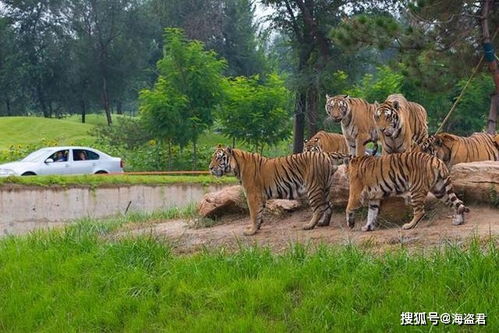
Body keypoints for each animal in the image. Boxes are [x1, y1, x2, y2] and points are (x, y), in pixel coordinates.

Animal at [208, 145, 348, 236]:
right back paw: (323, 223)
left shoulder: (252, 195)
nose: (209, 168)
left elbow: (254, 214)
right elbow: (259, 213)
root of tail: (325, 154)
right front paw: (257, 227)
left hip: (313, 188)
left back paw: (309, 226)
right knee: (328, 206)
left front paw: (251, 231)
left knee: (319, 208)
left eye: (219, 158)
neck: (237, 166)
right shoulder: (260, 196)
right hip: (325, 188)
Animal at [336, 150, 468, 231]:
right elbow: (372, 213)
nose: (345, 175)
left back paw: (408, 226)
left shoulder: (356, 193)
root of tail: (436, 160)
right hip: (440, 189)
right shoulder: (374, 197)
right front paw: (368, 227)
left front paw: (350, 224)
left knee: (420, 212)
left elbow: (348, 208)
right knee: (458, 203)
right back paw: (459, 221)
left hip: (416, 190)